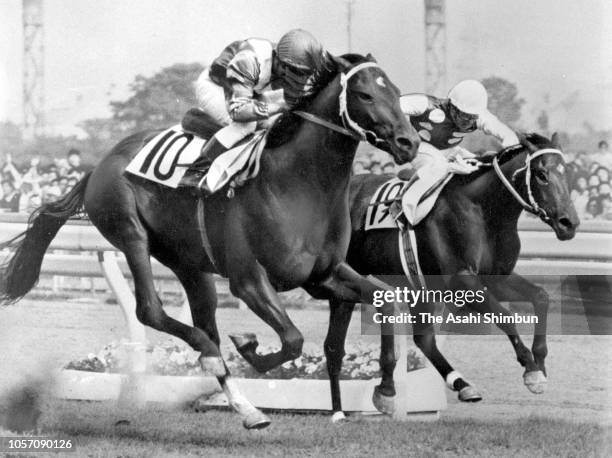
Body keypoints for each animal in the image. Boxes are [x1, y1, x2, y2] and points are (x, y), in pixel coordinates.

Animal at [0, 53, 420, 430]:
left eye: (397, 92)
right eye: (365, 95)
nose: (409, 142)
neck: (297, 182)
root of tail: (98, 164)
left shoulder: (323, 275)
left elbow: (386, 299)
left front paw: (386, 391)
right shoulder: (249, 279)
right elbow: (293, 340)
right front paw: (250, 347)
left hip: (190, 265)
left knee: (205, 322)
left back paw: (247, 408)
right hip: (130, 232)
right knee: (152, 311)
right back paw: (210, 356)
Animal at [322, 132, 580, 418]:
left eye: (568, 173)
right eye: (542, 174)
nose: (569, 223)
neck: (483, 211)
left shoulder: (496, 278)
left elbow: (541, 296)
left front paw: (540, 363)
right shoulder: (461, 280)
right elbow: (506, 316)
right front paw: (531, 370)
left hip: (415, 287)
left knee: (422, 339)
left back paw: (458, 384)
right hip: (344, 282)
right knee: (335, 346)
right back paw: (348, 406)